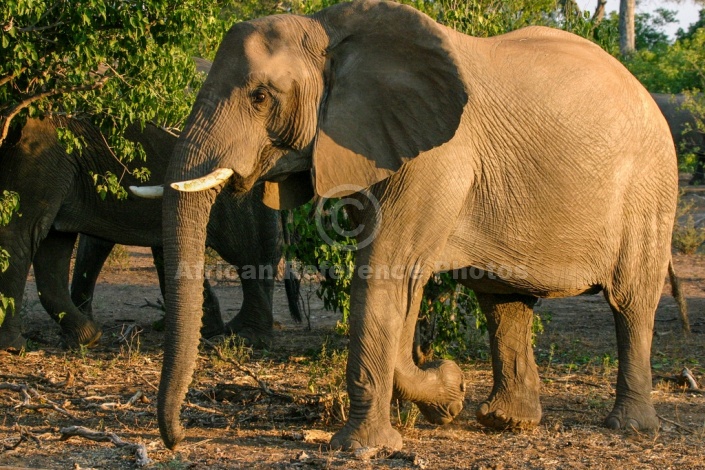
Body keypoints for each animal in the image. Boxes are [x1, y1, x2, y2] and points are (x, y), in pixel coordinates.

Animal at [0, 117, 296, 350]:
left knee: (250, 250)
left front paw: (12, 348)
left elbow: (19, 233)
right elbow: (53, 244)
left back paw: (243, 337)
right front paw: (85, 339)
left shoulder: (41, 146)